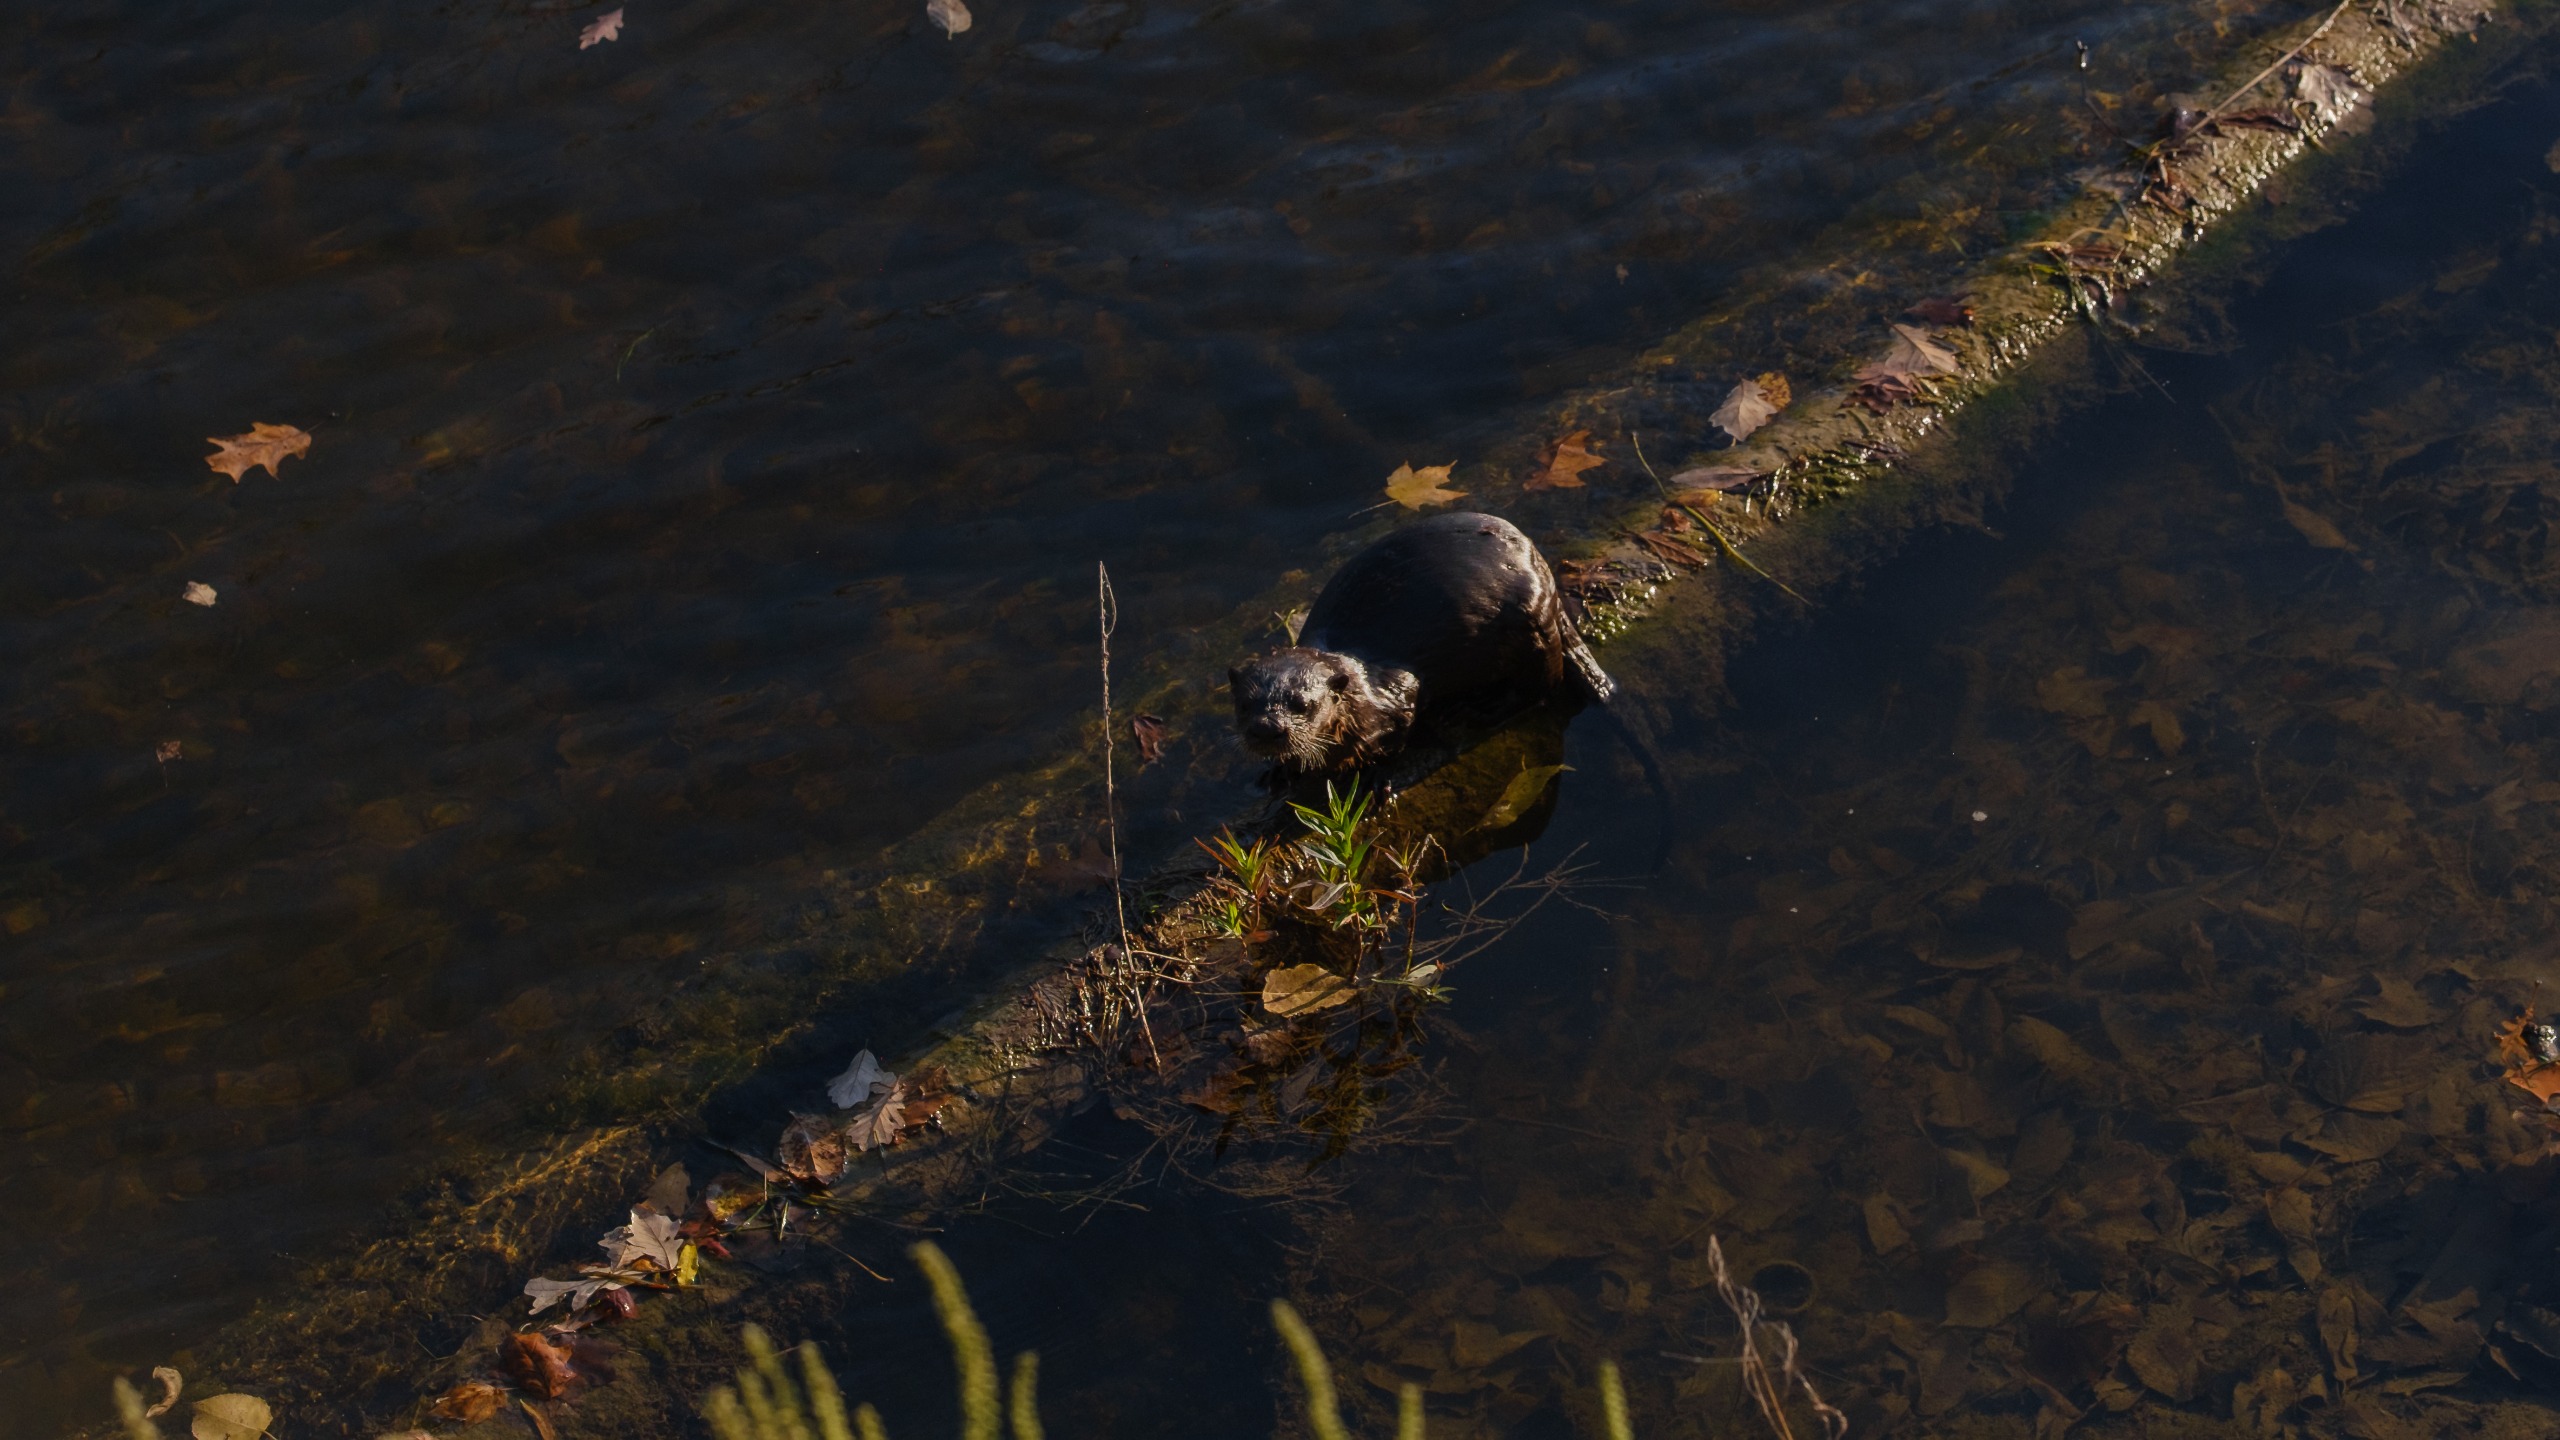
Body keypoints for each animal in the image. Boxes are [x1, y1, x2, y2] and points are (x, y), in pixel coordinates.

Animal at [1229, 511, 1614, 774]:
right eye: (1245, 705)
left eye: (1303, 705)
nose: (1266, 728)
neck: (1360, 689)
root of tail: (1544, 570)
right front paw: (1282, 774)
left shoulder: (1399, 690)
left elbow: (1398, 731)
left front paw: (1374, 780)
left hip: (1532, 629)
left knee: (1541, 686)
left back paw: (1481, 709)